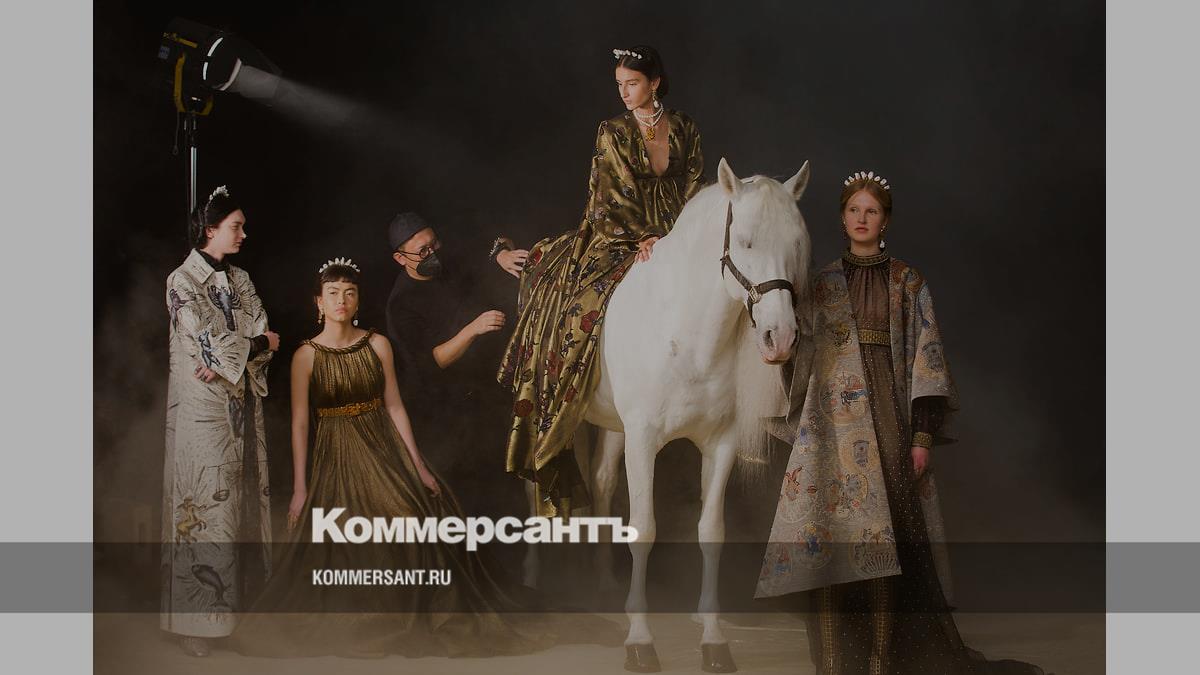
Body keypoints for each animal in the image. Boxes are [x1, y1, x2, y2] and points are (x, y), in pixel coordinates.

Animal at [556, 158, 812, 673]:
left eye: (796, 243)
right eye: (746, 241)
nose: (780, 337)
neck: (688, 336)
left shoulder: (721, 443)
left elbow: (711, 531)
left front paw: (714, 640)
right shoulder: (643, 441)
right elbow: (643, 529)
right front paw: (640, 640)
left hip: (613, 429)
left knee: (602, 482)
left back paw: (604, 585)